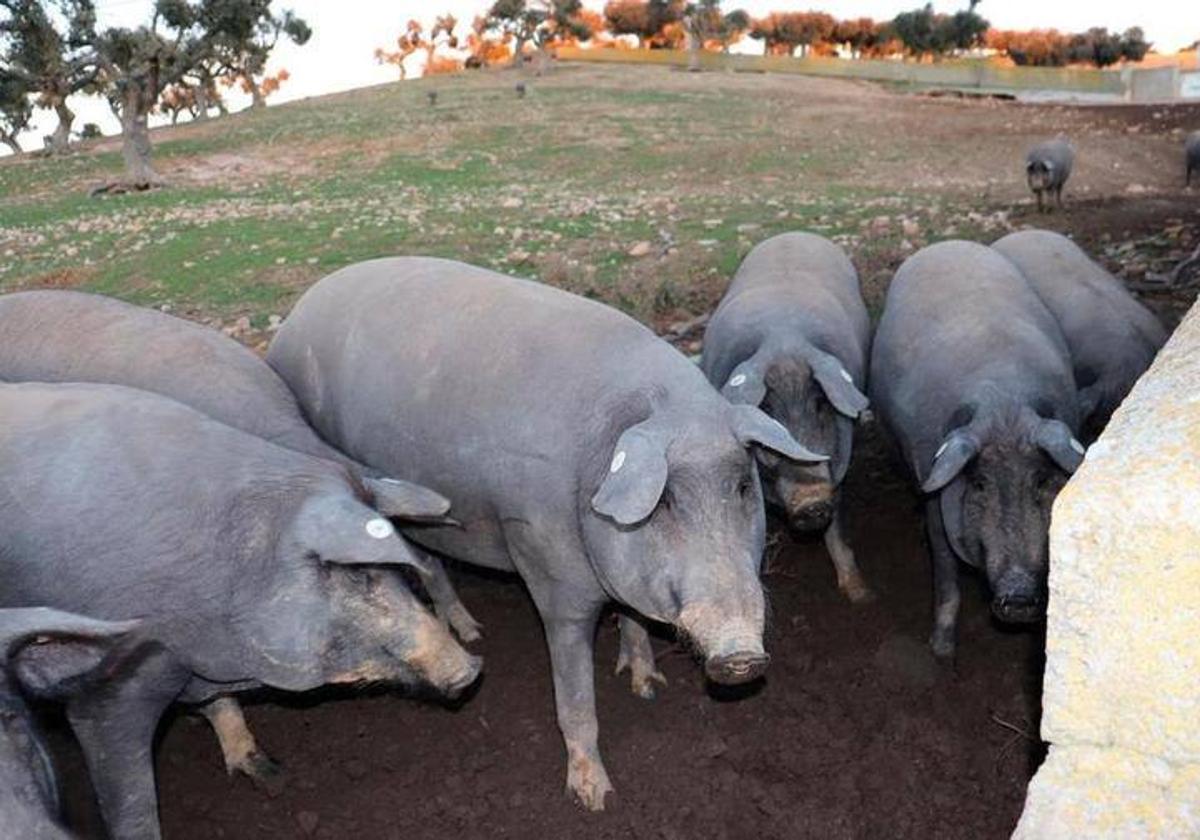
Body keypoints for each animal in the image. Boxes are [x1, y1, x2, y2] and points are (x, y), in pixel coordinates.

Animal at [700, 232, 873, 607]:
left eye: (821, 404)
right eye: (766, 411)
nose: (810, 500)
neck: (783, 343)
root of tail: (794, 234)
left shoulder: (838, 470)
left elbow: (836, 526)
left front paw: (860, 595)